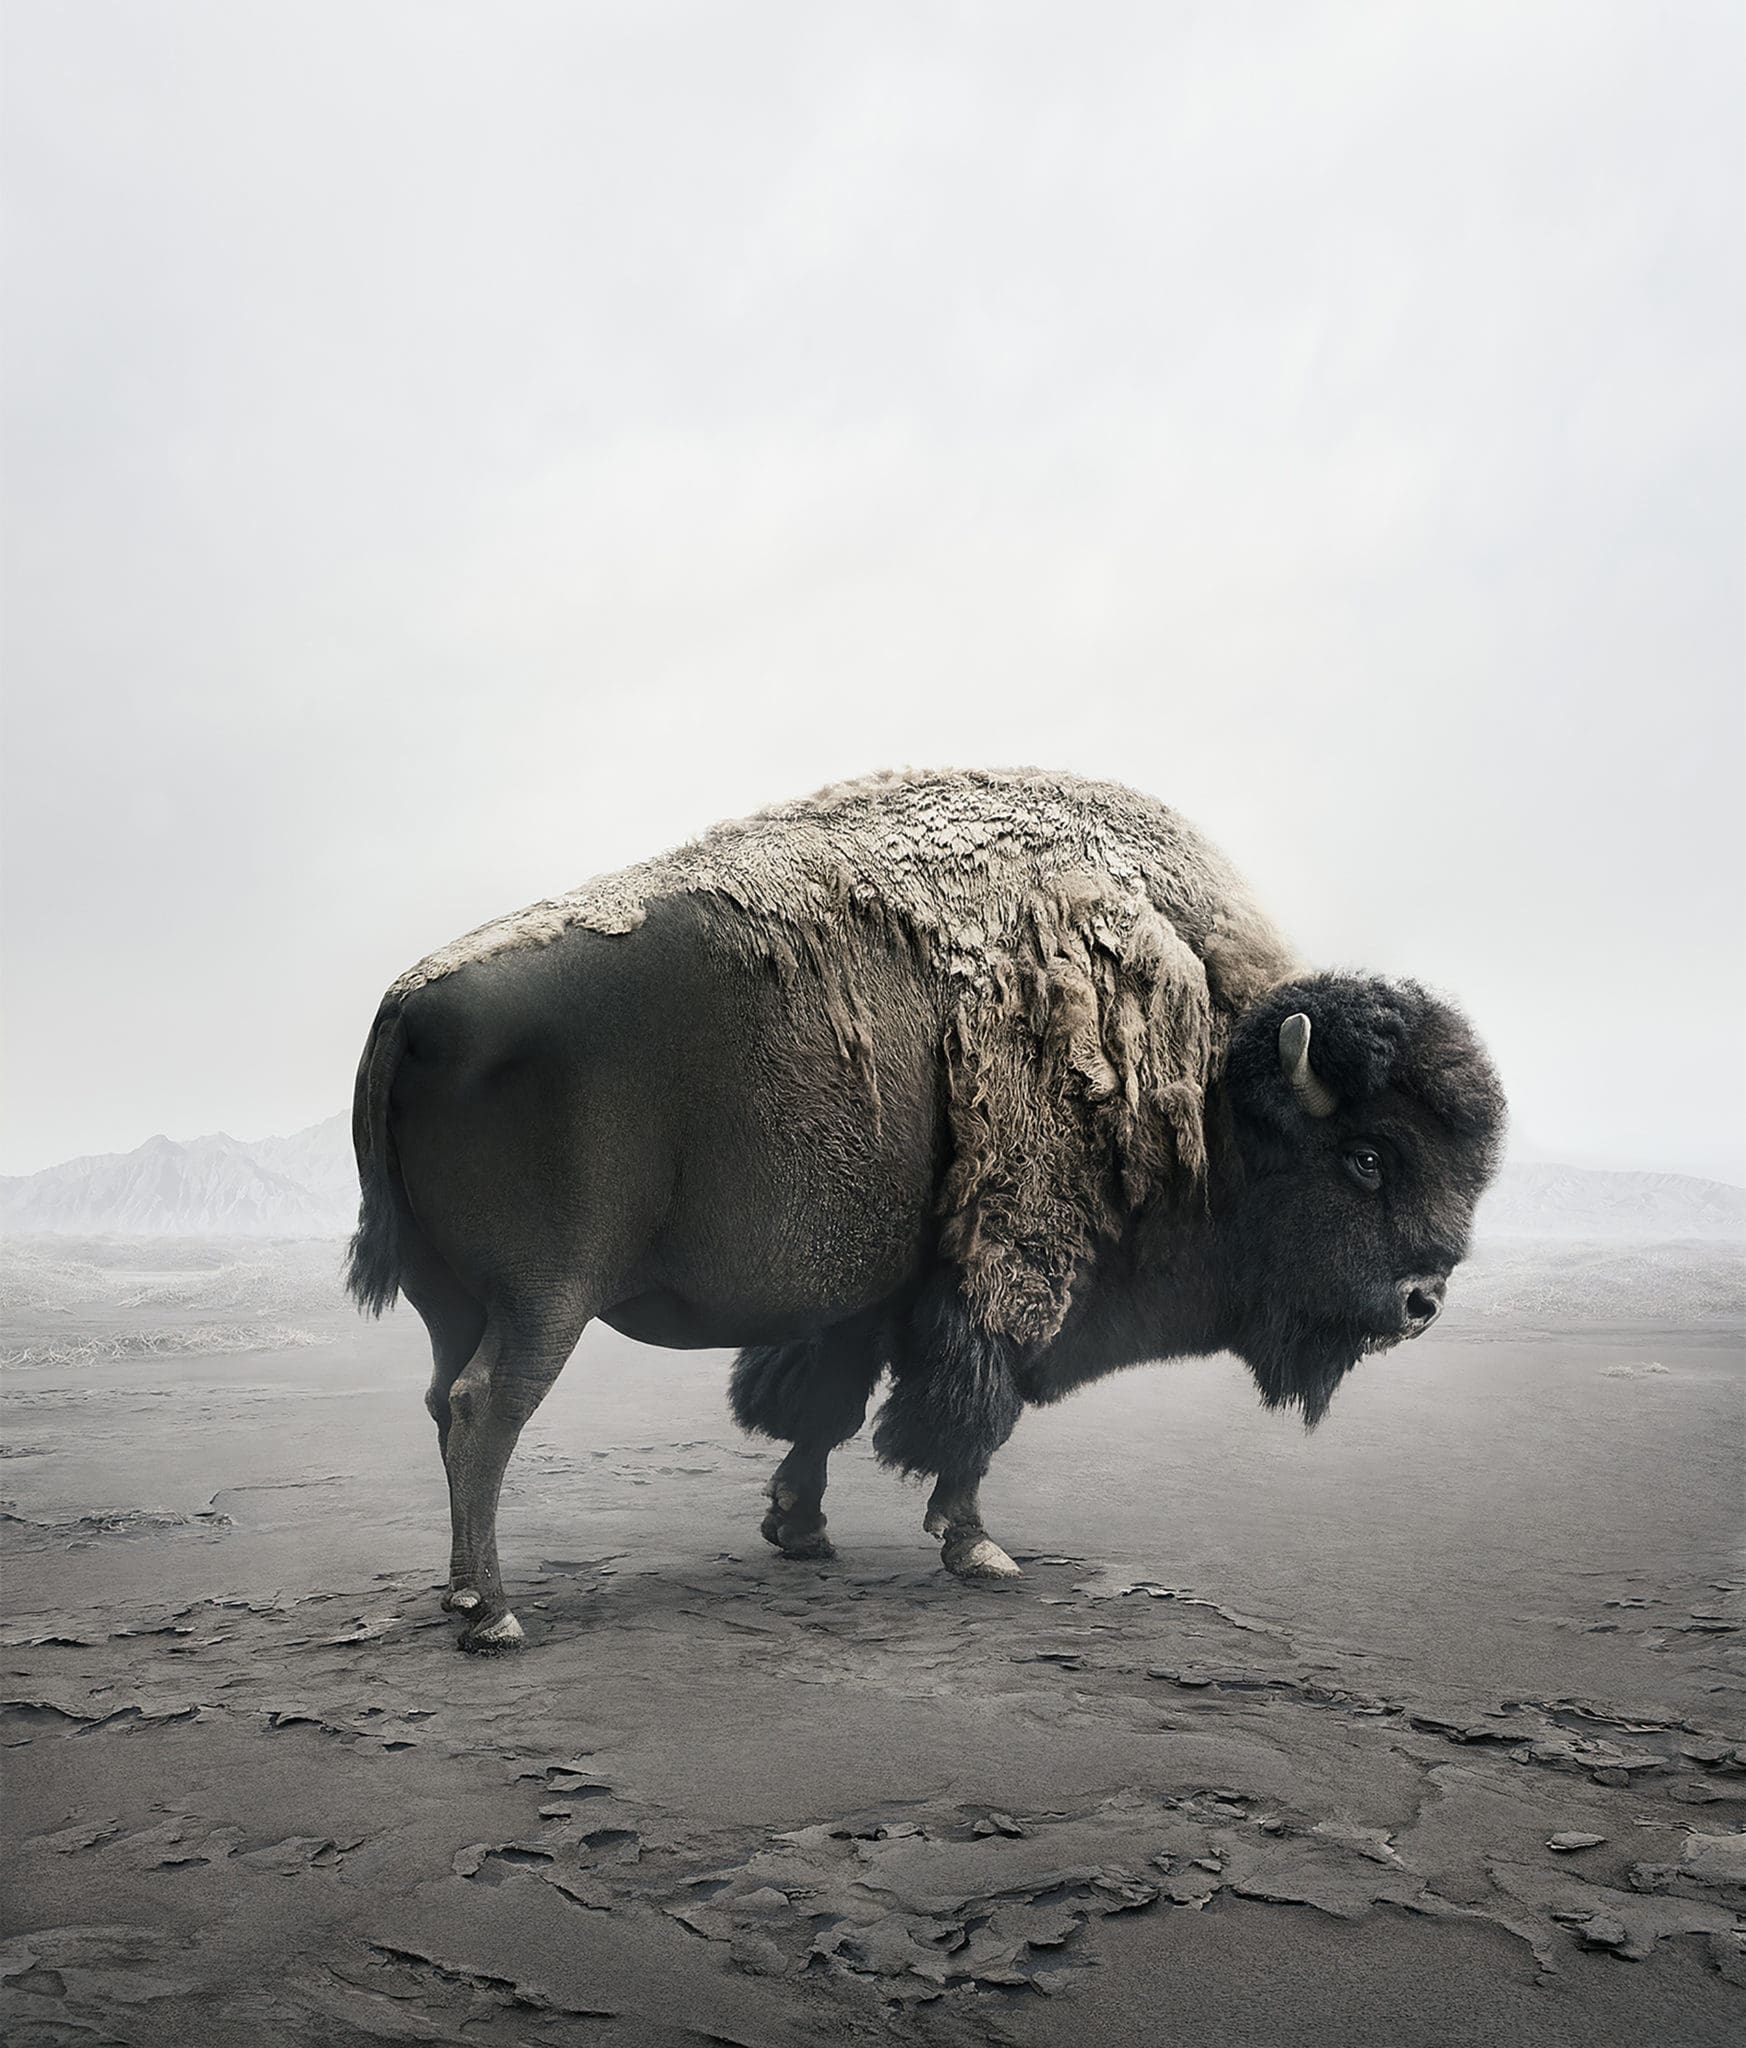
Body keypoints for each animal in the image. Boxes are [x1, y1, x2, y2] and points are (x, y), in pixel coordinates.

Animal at [346, 769, 1504, 1651]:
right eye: (1366, 1156)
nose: (1423, 1300)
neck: (1208, 1074)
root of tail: (410, 1001)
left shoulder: (868, 1296)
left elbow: (824, 1404)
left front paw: (800, 1528)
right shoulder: (1009, 1274)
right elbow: (973, 1412)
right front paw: (978, 1548)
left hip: (454, 1300)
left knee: (442, 1400)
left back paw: (459, 1592)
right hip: (546, 1301)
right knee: (486, 1408)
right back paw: (492, 1614)